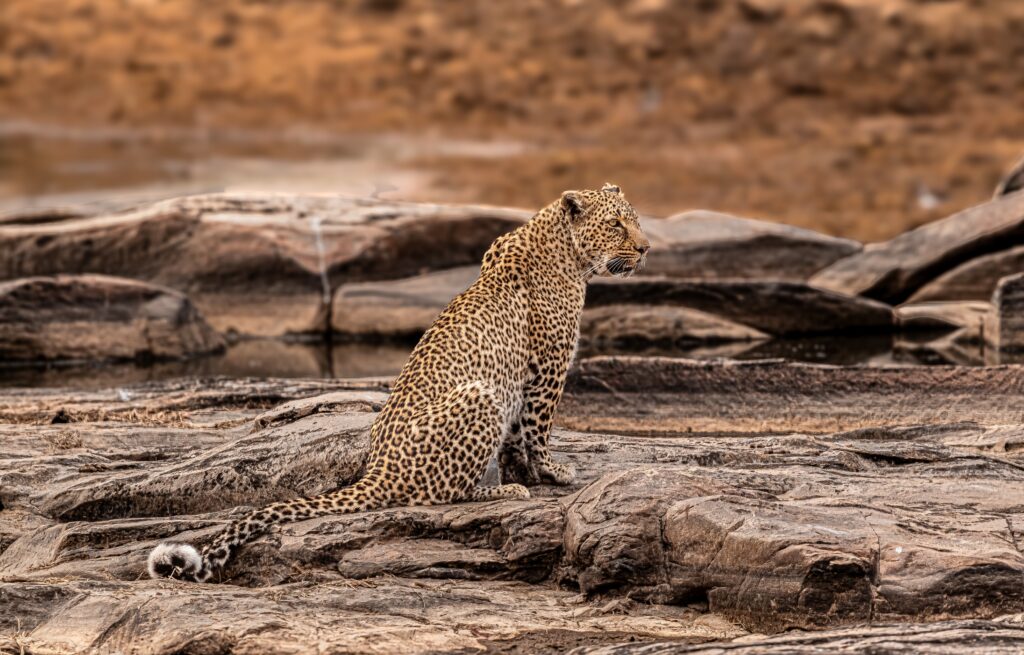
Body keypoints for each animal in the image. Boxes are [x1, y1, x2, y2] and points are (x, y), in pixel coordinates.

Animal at [148, 183, 650, 582]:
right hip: (480, 395)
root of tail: (379, 470)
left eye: (637, 220)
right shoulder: (548, 367)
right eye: (616, 225)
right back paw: (501, 491)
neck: (566, 249)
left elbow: (515, 436)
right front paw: (548, 472)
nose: (646, 249)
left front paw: (522, 468)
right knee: (442, 494)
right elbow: (539, 429)